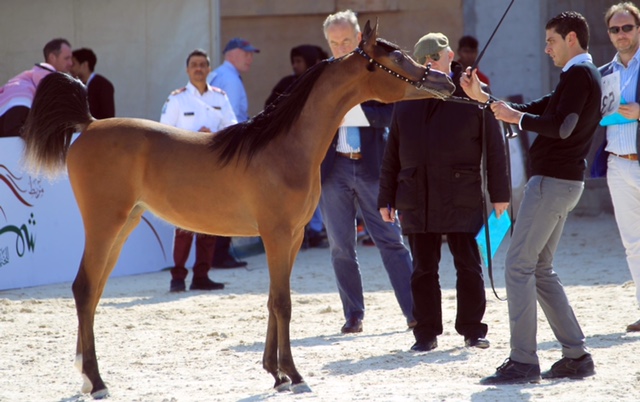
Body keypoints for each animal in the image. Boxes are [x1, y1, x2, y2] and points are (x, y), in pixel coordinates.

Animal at [20, 21, 456, 398]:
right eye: (396, 56)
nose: (445, 80)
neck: (284, 149)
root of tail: (88, 125)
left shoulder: (292, 237)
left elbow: (272, 300)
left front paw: (276, 374)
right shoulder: (277, 235)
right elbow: (283, 303)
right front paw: (294, 375)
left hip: (123, 226)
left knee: (93, 293)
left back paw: (85, 376)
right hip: (103, 225)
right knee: (83, 288)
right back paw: (96, 382)